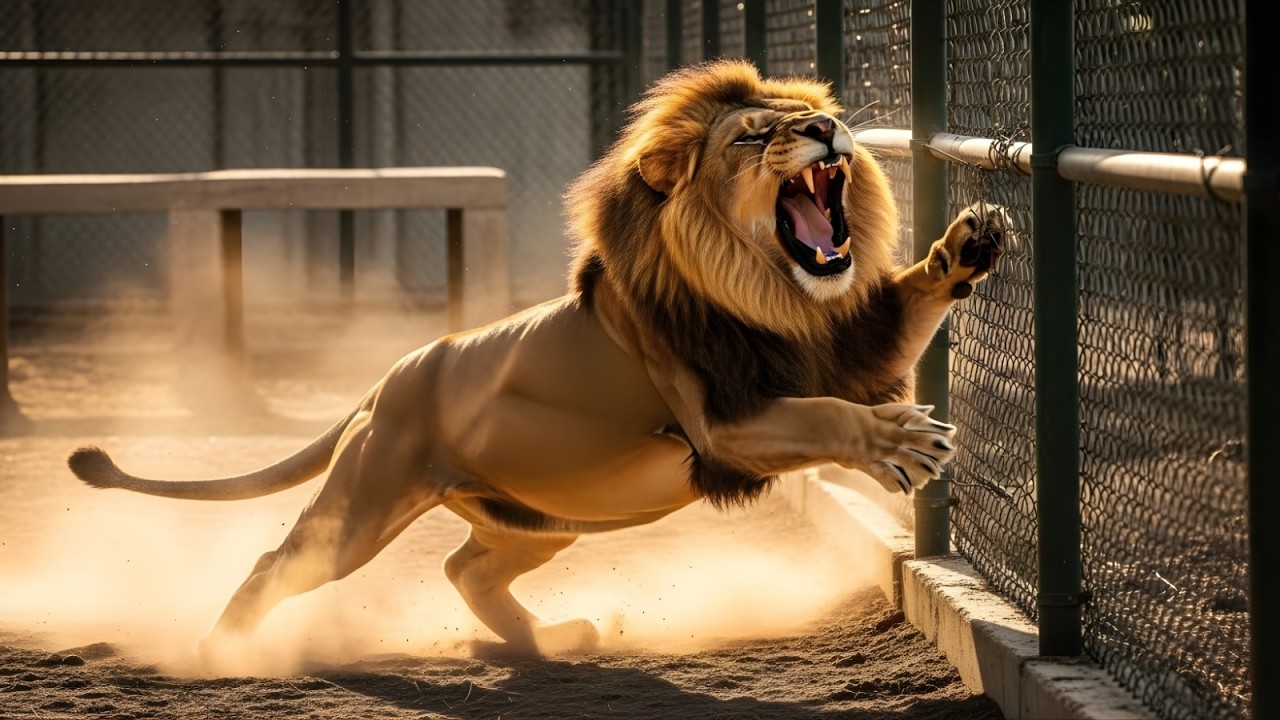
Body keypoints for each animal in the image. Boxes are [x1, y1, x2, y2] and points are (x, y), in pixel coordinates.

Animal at [68, 60, 1006, 659]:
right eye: (750, 138)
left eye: (815, 119)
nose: (824, 128)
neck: (779, 296)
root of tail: (385, 381)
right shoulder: (724, 423)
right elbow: (828, 415)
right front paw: (903, 444)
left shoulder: (844, 345)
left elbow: (903, 315)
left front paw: (970, 241)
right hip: (362, 512)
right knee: (277, 564)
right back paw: (218, 653)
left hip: (545, 520)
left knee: (462, 567)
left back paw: (549, 642)